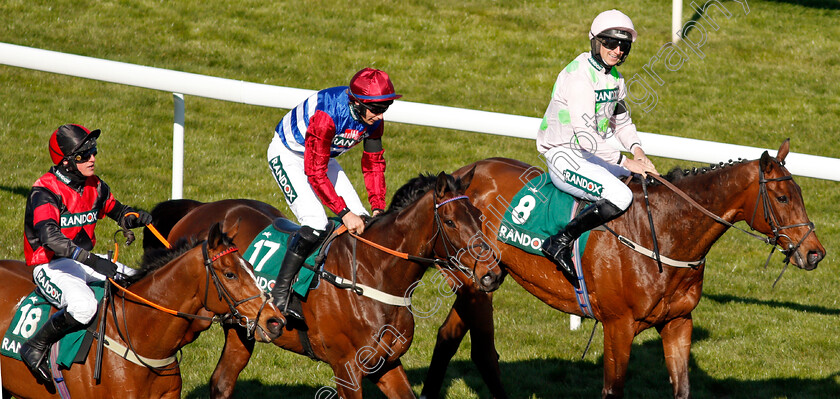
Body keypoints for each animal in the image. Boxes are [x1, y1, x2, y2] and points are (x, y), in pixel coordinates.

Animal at [144, 172, 502, 399]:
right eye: (451, 222)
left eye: (479, 216)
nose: (492, 274)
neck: (374, 273)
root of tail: (198, 209)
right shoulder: (347, 369)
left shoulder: (385, 363)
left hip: (241, 327)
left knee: (221, 383)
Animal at [416, 139, 824, 398]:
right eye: (782, 197)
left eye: (801, 194)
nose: (815, 253)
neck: (662, 233)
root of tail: (460, 175)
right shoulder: (618, 326)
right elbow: (613, 389)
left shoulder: (678, 321)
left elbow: (682, 387)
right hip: (473, 279)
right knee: (480, 351)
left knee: (449, 336)